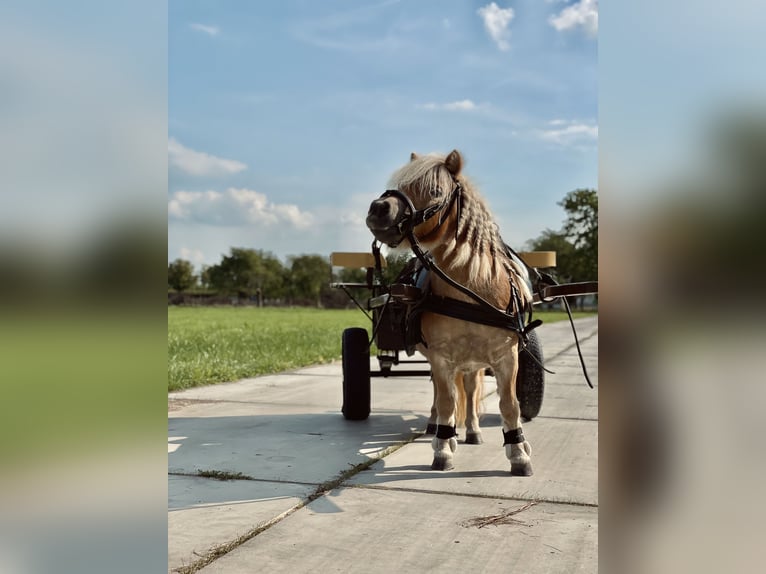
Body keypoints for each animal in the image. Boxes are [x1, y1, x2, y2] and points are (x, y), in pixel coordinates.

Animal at [366, 150, 536, 476]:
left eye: (434, 191)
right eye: (400, 184)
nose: (379, 208)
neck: (472, 290)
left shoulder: (507, 356)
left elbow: (509, 405)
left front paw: (519, 453)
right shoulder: (442, 356)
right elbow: (446, 402)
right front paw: (443, 447)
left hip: (472, 362)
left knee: (469, 391)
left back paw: (472, 429)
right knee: (443, 393)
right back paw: (436, 427)